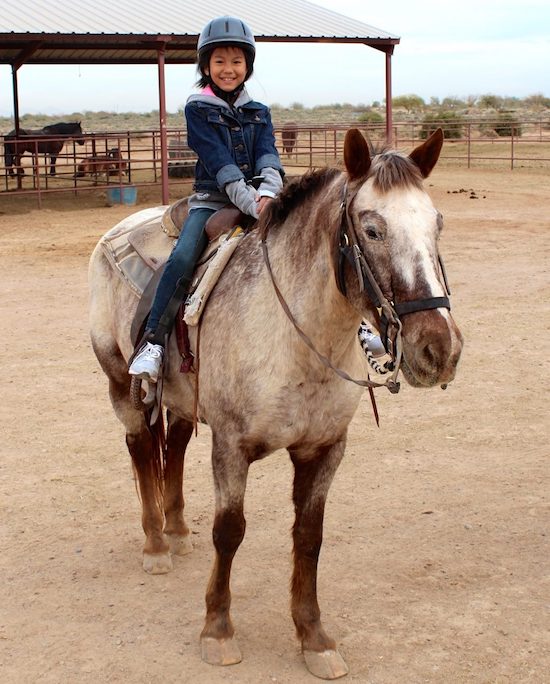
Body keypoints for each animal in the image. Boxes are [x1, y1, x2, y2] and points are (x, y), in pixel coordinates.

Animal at [88, 128, 464, 680]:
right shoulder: (230, 446)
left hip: (180, 399)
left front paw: (314, 638)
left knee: (172, 449)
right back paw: (156, 544)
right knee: (140, 448)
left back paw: (177, 531)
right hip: (122, 383)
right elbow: (229, 532)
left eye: (436, 224)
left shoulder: (324, 448)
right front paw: (217, 630)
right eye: (372, 230)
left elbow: (309, 537)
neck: (298, 336)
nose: (439, 348)